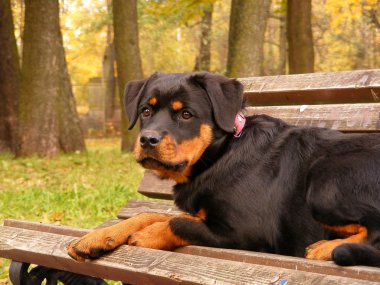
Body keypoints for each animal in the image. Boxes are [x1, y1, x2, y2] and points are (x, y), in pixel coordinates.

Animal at [68, 71, 380, 266]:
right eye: (146, 110)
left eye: (186, 114)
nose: (147, 140)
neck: (219, 156)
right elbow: (150, 213)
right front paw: (96, 238)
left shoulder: (246, 231)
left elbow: (176, 221)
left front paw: (147, 235)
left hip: (325, 180)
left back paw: (327, 248)